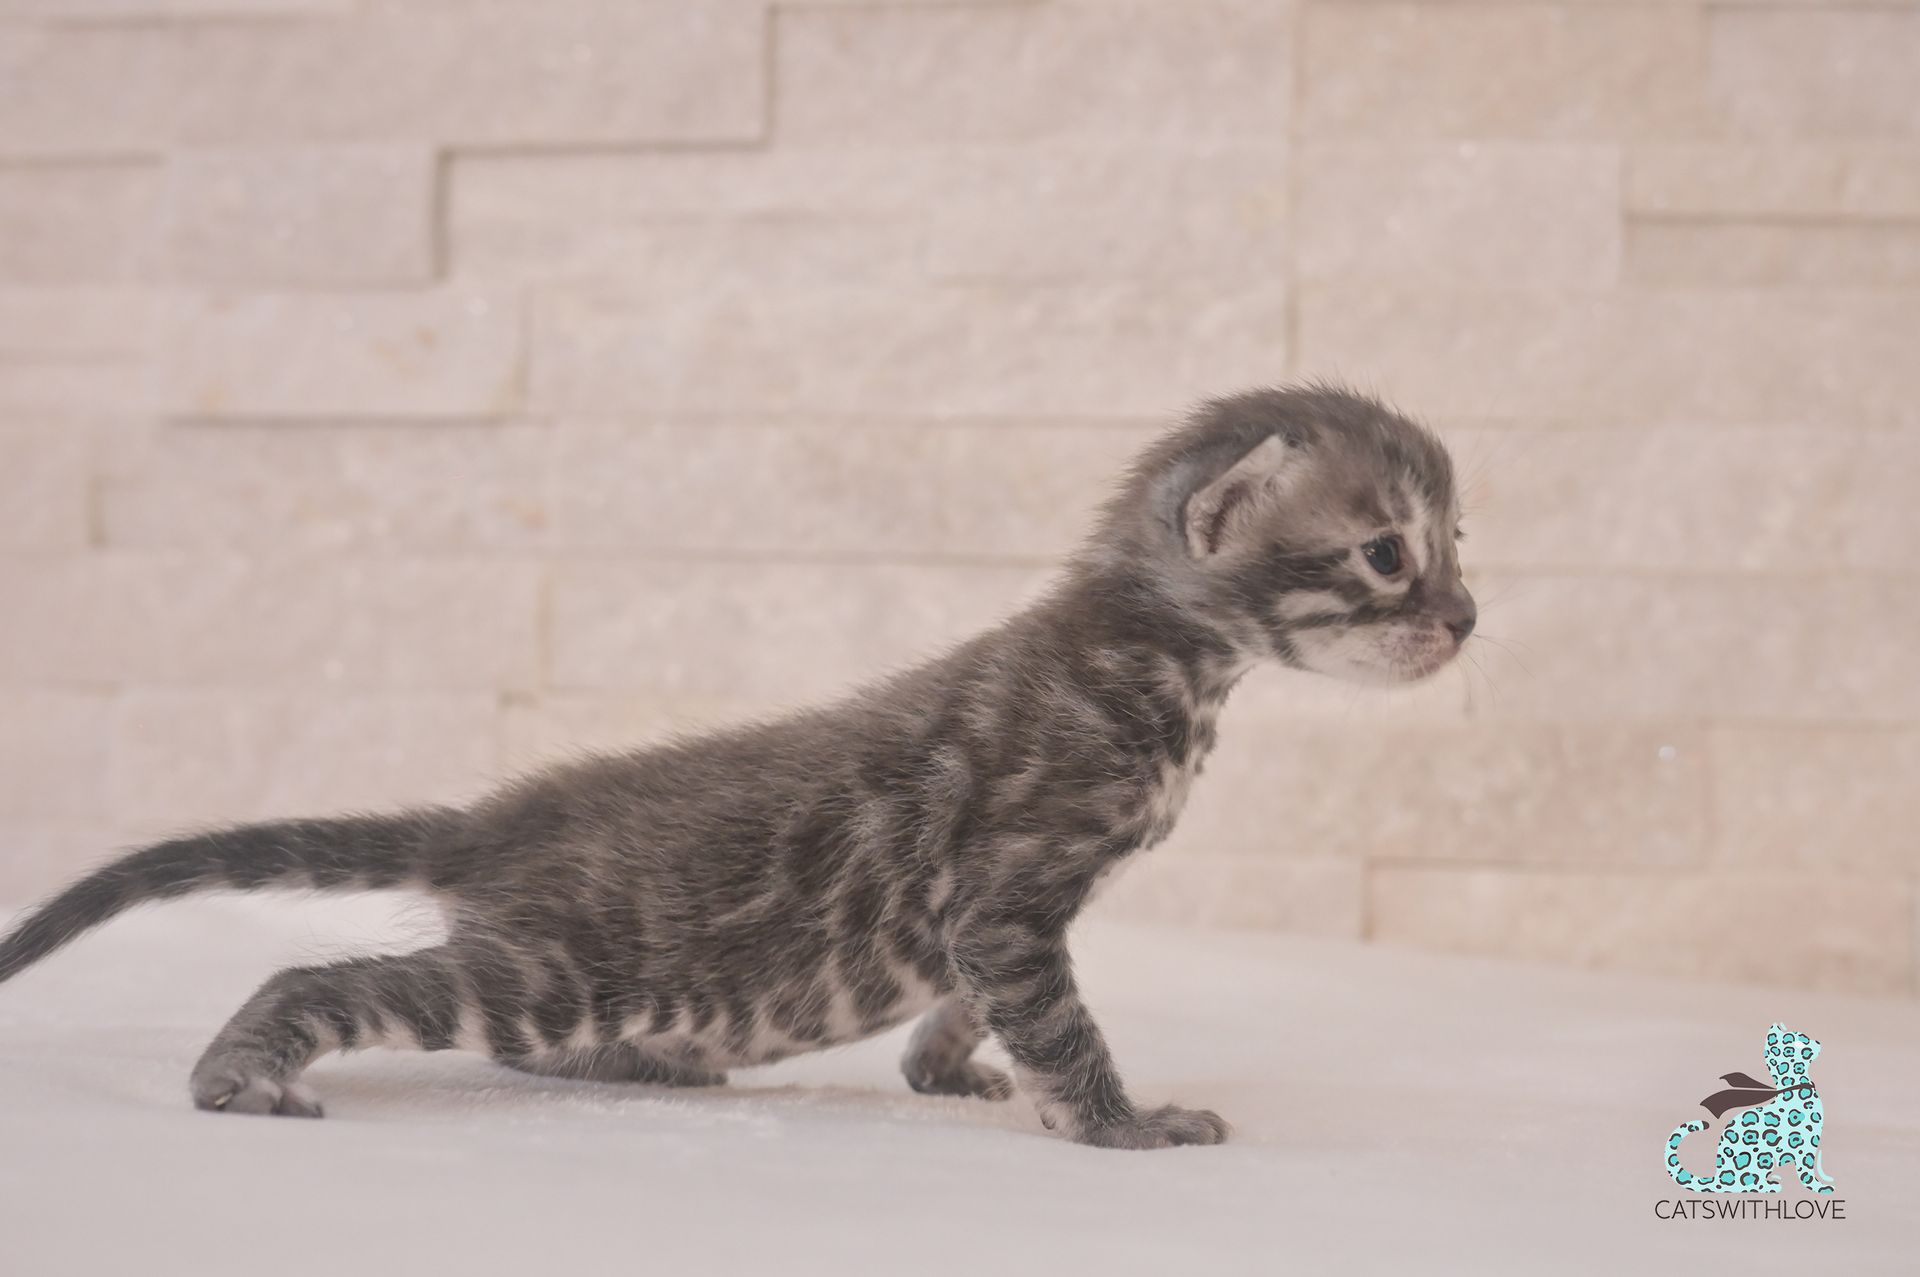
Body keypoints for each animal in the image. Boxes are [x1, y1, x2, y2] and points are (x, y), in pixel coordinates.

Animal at [0, 384, 1474, 1152]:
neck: (1153, 656)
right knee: (333, 980)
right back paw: (241, 1069)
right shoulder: (1010, 893)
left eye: (1460, 545)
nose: (1467, 620)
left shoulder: (989, 920)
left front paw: (945, 1069)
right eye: (1387, 554)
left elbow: (973, 1002)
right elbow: (1059, 1020)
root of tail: (489, 822)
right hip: (548, 972)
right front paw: (1123, 1122)